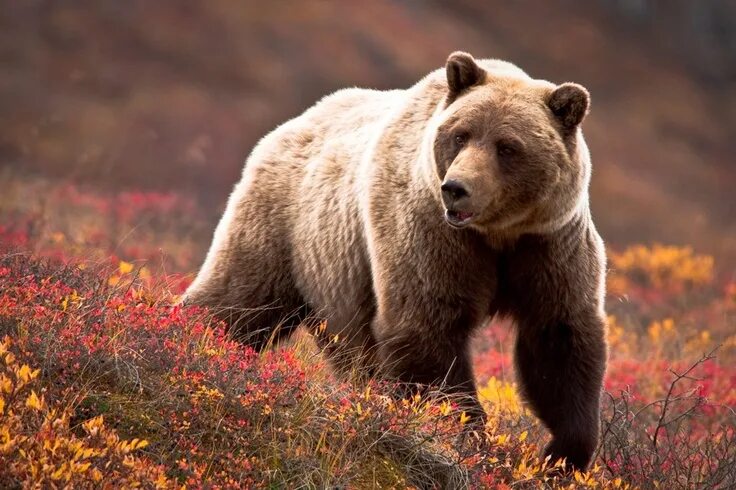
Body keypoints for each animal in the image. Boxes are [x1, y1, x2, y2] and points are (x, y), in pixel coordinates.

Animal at [184, 51, 608, 468]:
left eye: (507, 146)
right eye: (461, 135)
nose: (456, 188)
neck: (496, 233)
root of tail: (292, 124)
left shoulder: (549, 244)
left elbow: (558, 335)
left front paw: (564, 453)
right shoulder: (429, 232)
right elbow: (426, 327)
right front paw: (465, 433)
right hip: (282, 225)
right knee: (239, 299)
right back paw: (195, 338)